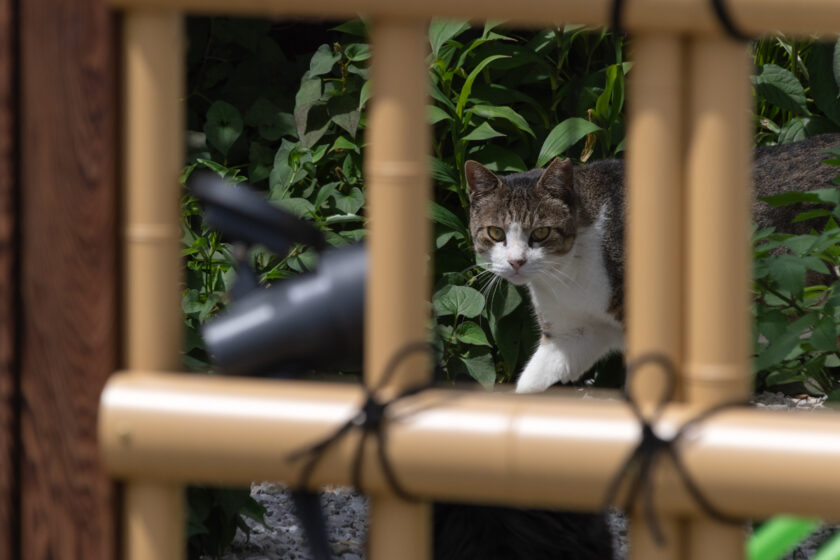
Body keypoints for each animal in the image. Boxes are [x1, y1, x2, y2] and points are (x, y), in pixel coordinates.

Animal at [466, 134, 840, 394]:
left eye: (541, 233)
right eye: (495, 232)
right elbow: (532, 381)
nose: (516, 262)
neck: (568, 274)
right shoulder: (574, 334)